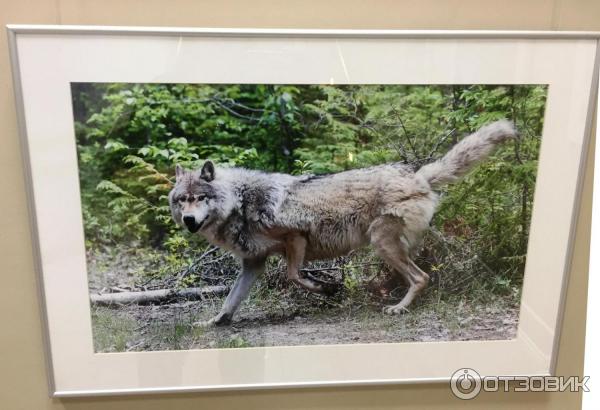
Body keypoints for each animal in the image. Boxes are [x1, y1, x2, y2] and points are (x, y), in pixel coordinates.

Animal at [169, 119, 516, 326]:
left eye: (200, 198)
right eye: (181, 200)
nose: (188, 219)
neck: (238, 203)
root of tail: (416, 174)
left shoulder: (296, 238)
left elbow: (294, 275)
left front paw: (328, 288)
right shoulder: (253, 263)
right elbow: (231, 299)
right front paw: (215, 322)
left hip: (382, 244)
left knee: (421, 277)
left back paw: (398, 308)